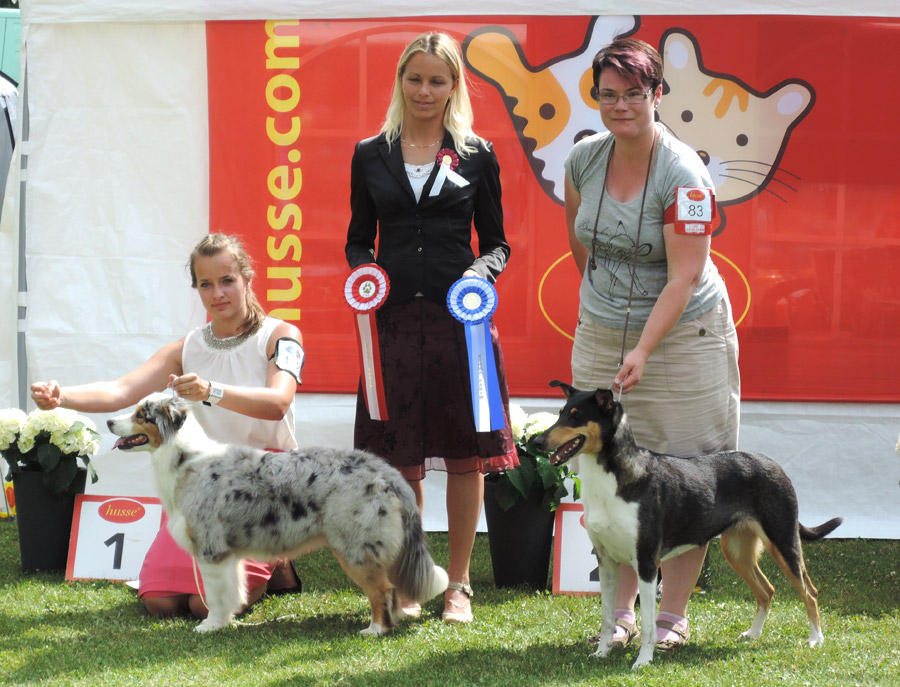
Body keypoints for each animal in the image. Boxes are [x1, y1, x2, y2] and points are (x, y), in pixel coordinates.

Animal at [107, 391, 448, 635]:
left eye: (141, 414)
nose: (109, 421)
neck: (186, 459)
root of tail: (389, 472)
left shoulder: (211, 550)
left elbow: (214, 596)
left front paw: (210, 625)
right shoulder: (229, 556)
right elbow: (231, 591)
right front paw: (227, 621)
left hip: (356, 547)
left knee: (382, 590)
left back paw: (375, 629)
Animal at [533, 381, 842, 670]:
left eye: (576, 416)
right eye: (561, 413)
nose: (536, 442)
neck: (614, 478)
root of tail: (774, 464)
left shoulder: (647, 563)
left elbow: (649, 625)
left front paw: (642, 661)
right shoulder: (606, 561)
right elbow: (608, 618)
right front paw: (601, 653)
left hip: (783, 541)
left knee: (810, 592)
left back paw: (815, 639)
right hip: (737, 551)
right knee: (767, 590)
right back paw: (753, 635)